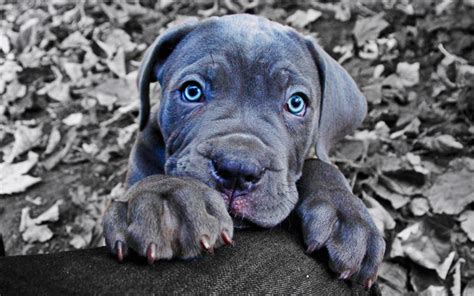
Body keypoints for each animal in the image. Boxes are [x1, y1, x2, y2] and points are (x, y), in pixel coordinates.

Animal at [103, 14, 386, 290]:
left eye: (296, 103)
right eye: (192, 91)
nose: (237, 170)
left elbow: (321, 165)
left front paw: (346, 215)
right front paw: (164, 200)